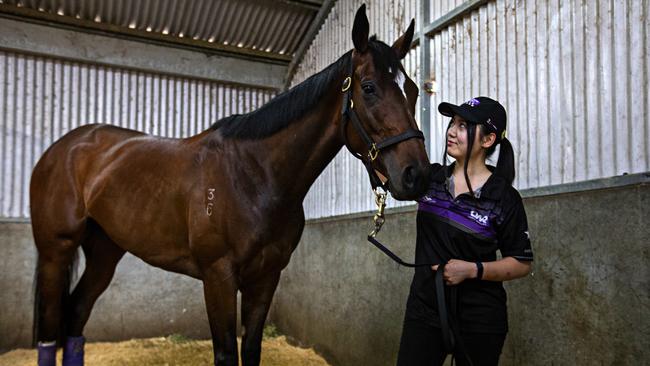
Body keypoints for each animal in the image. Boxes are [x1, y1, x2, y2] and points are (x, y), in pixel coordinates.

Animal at [30, 5, 428, 366]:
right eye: (369, 88)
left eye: (411, 90)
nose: (418, 174)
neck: (256, 176)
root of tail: (64, 147)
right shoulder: (218, 277)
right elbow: (225, 354)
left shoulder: (266, 277)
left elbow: (250, 351)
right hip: (55, 250)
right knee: (51, 329)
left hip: (105, 250)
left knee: (76, 313)